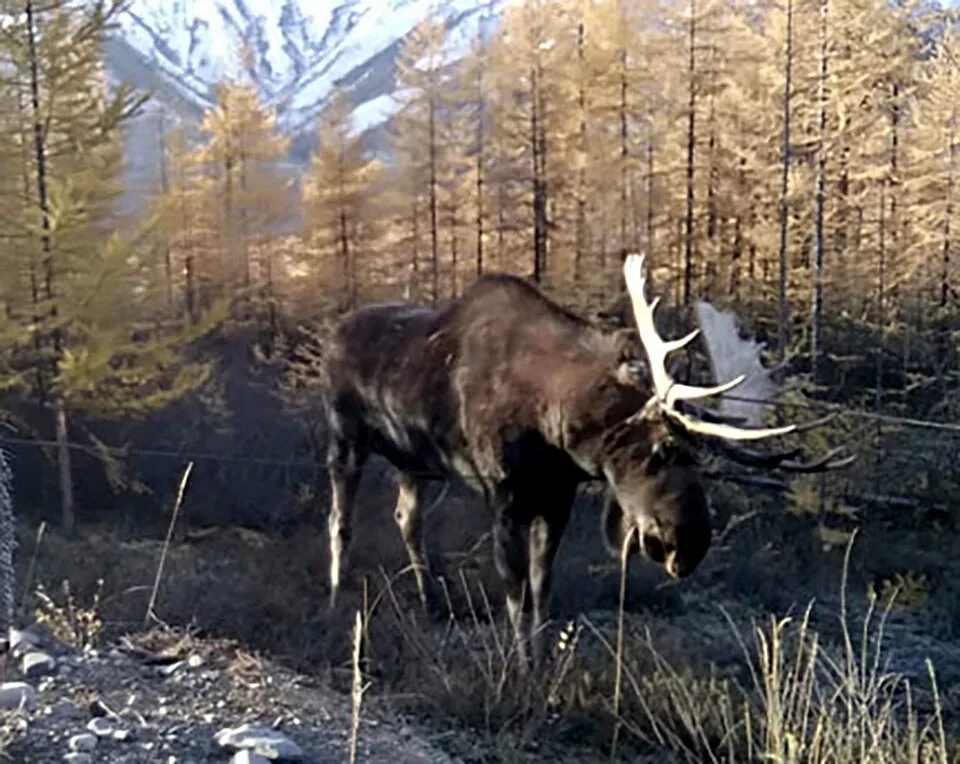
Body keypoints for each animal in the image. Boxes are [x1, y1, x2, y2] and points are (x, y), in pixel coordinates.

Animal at [318, 254, 852, 664]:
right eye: (662, 449)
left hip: (415, 461)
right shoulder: (505, 495)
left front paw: (545, 664)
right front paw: (520, 666)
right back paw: (336, 594)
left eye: (699, 460)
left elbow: (542, 588)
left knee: (407, 517)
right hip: (345, 437)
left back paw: (429, 599)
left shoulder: (558, 498)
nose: (691, 543)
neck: (556, 429)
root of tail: (333, 331)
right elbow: (515, 591)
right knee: (339, 519)